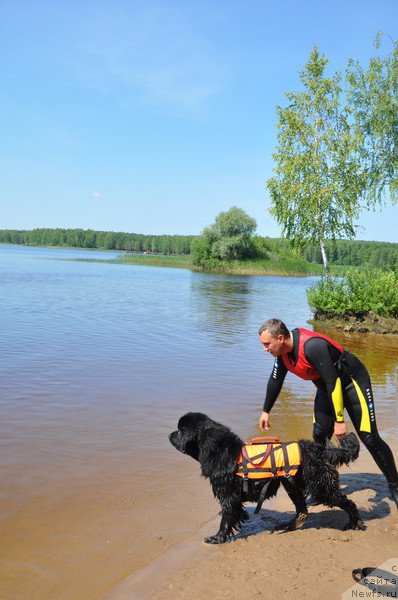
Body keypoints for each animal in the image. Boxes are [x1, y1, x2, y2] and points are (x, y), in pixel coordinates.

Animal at [168, 412, 364, 544]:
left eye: (180, 430)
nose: (169, 434)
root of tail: (316, 448)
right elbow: (234, 515)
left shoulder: (228, 495)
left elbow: (226, 518)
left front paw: (217, 538)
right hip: (292, 484)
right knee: (302, 510)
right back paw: (287, 526)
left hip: (319, 484)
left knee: (346, 501)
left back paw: (354, 522)